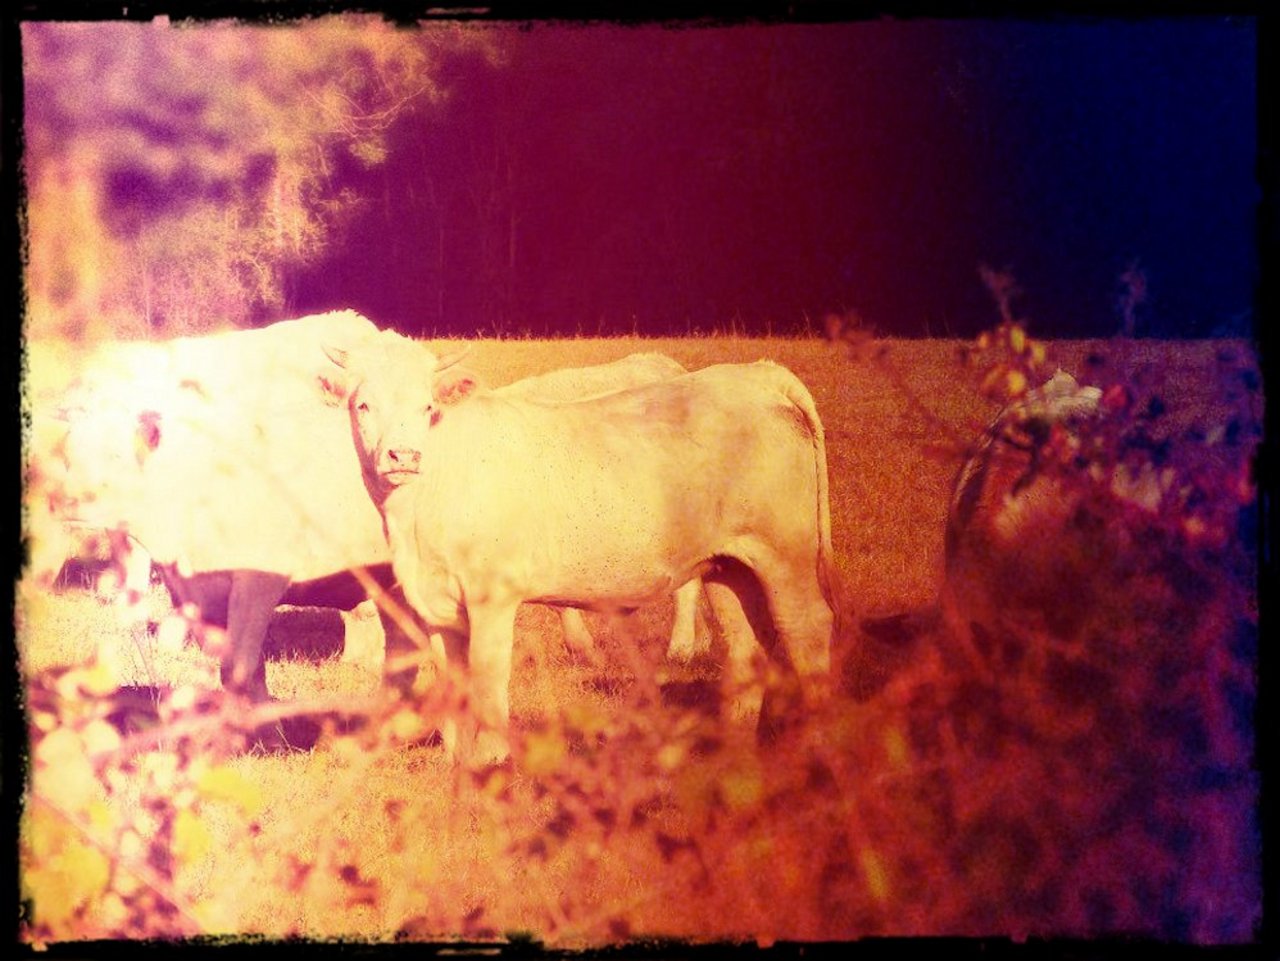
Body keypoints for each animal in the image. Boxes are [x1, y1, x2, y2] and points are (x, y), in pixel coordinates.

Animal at [325, 330, 834, 767]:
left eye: (427, 405)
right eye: (363, 404)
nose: (403, 456)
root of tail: (757, 373)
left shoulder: (494, 596)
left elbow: (487, 676)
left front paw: (490, 758)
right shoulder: (436, 603)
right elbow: (454, 678)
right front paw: (457, 762)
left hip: (785, 554)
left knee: (807, 629)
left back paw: (816, 744)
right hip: (731, 564)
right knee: (748, 641)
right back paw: (737, 746)